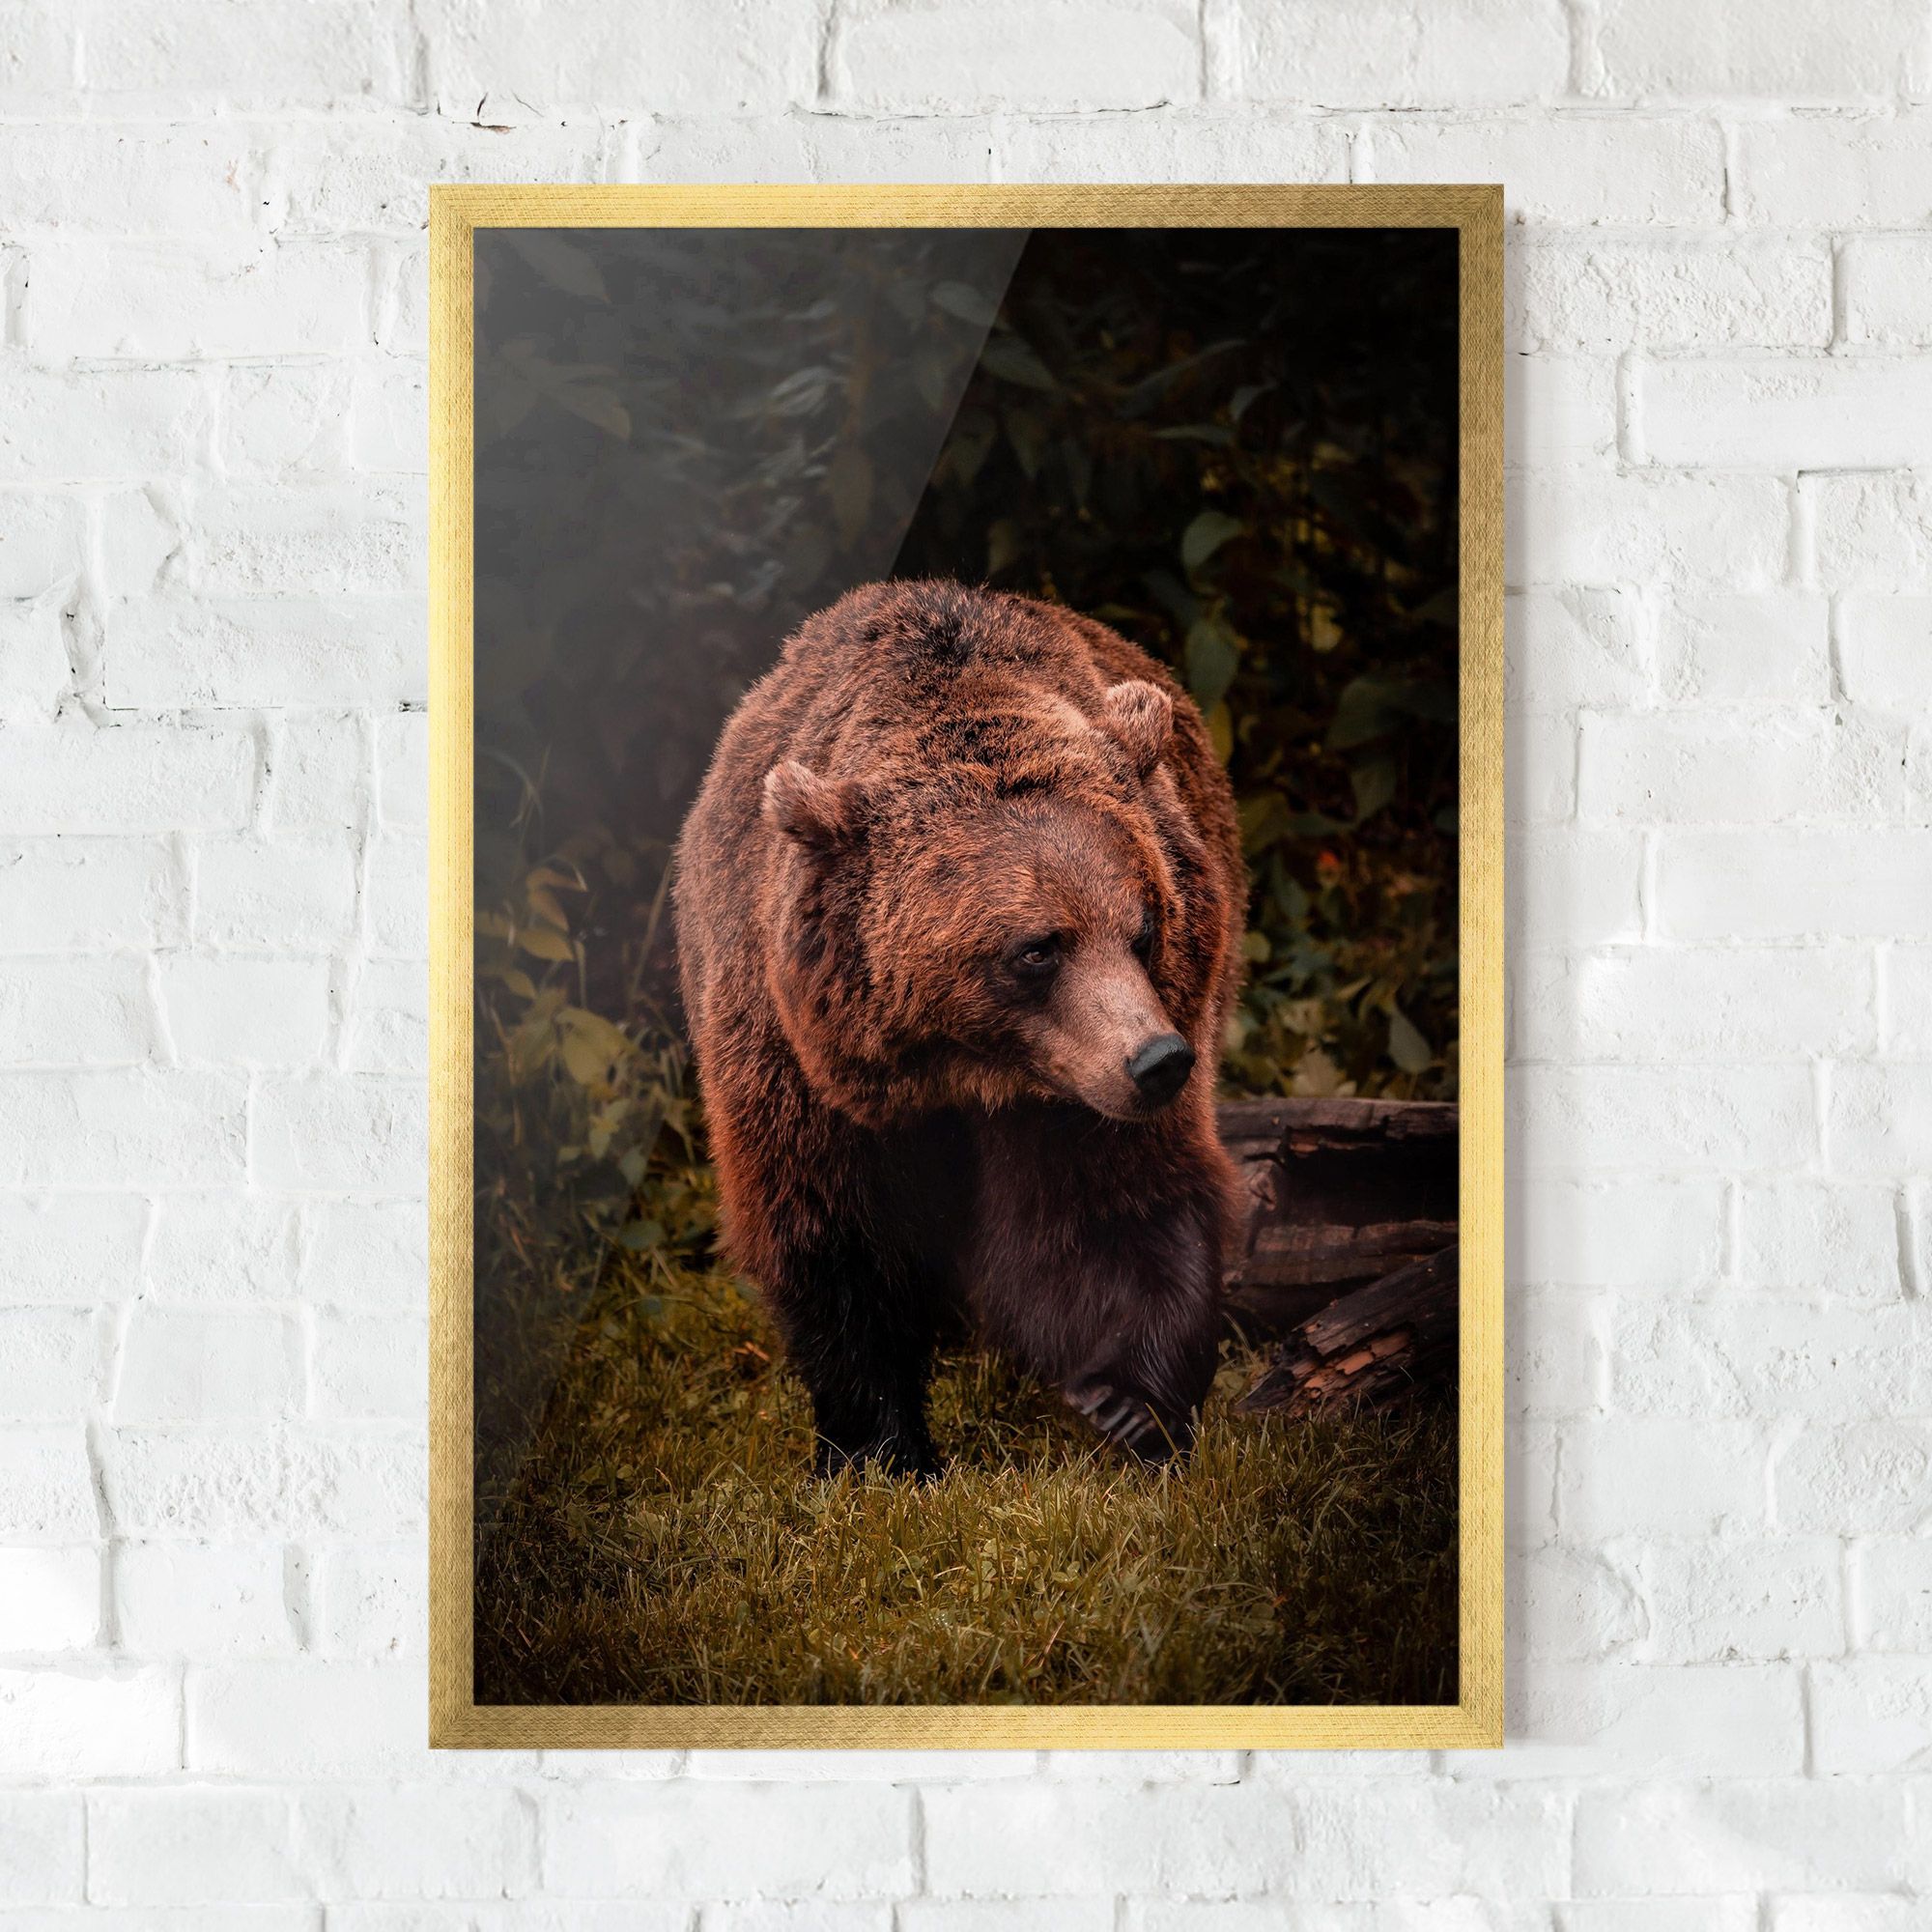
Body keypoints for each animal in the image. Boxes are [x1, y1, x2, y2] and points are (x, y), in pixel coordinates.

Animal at [673, 579, 1248, 1477]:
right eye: (1038, 948)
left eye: (1144, 927)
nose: (1159, 1060)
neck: (963, 1069)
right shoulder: (794, 1061)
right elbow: (836, 1236)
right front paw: (879, 1447)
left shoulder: (1077, 1088)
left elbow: (1111, 1208)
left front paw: (1128, 1403)